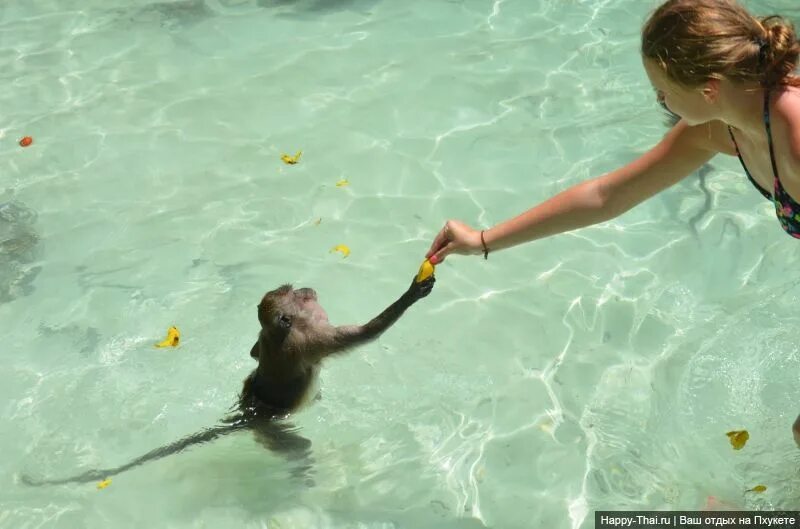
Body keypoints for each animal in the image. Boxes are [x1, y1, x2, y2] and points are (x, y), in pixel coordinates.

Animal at [23, 274, 438, 484]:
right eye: (297, 296)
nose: (308, 287)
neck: (286, 332)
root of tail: (252, 416)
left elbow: (255, 355)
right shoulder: (314, 338)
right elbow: (367, 333)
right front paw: (411, 293)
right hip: (273, 431)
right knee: (297, 447)